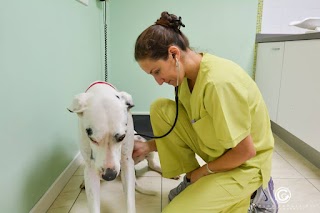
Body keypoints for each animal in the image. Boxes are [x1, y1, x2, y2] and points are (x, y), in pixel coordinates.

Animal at [68, 81, 151, 213]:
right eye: (92, 139)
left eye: (122, 137)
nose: (109, 175)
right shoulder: (91, 167)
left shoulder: (126, 161)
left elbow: (129, 199)